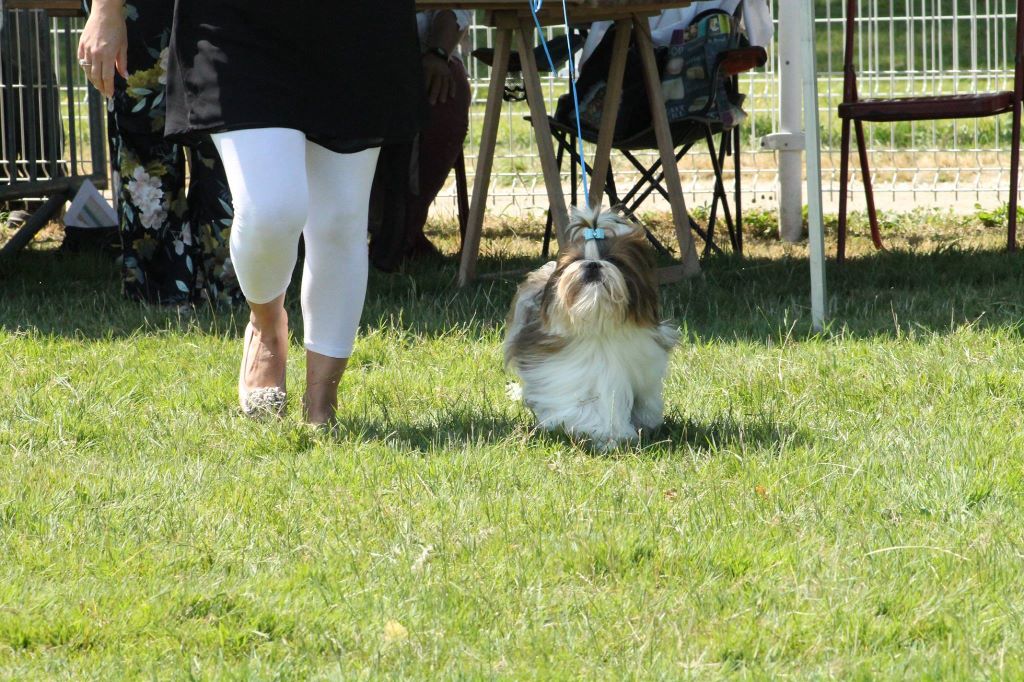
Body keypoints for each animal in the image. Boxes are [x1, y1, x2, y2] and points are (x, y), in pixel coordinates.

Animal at [503, 204, 679, 448]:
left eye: (614, 260)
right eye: (577, 259)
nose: (593, 264)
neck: (598, 328)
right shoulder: (567, 376)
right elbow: (585, 407)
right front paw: (603, 434)